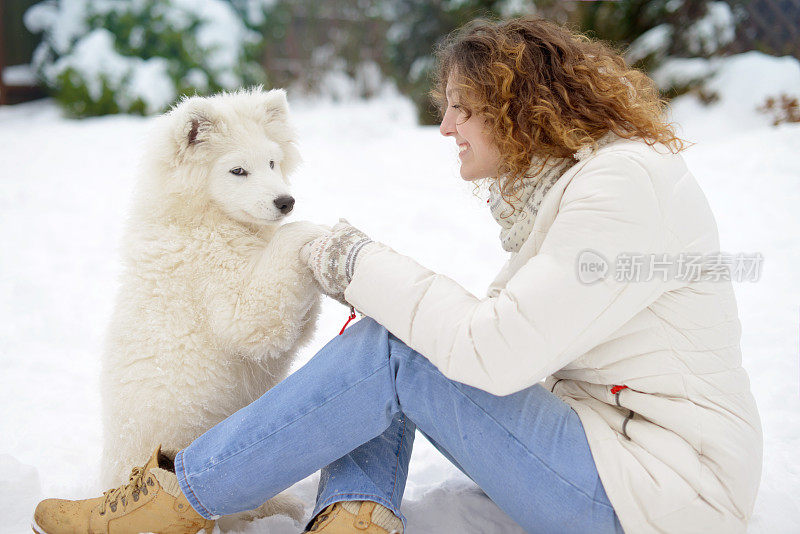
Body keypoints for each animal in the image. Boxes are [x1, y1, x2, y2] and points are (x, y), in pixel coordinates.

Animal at [100, 87, 324, 528]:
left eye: (272, 161)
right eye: (238, 170)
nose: (286, 201)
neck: (201, 218)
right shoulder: (209, 277)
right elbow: (254, 316)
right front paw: (313, 231)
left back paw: (281, 506)